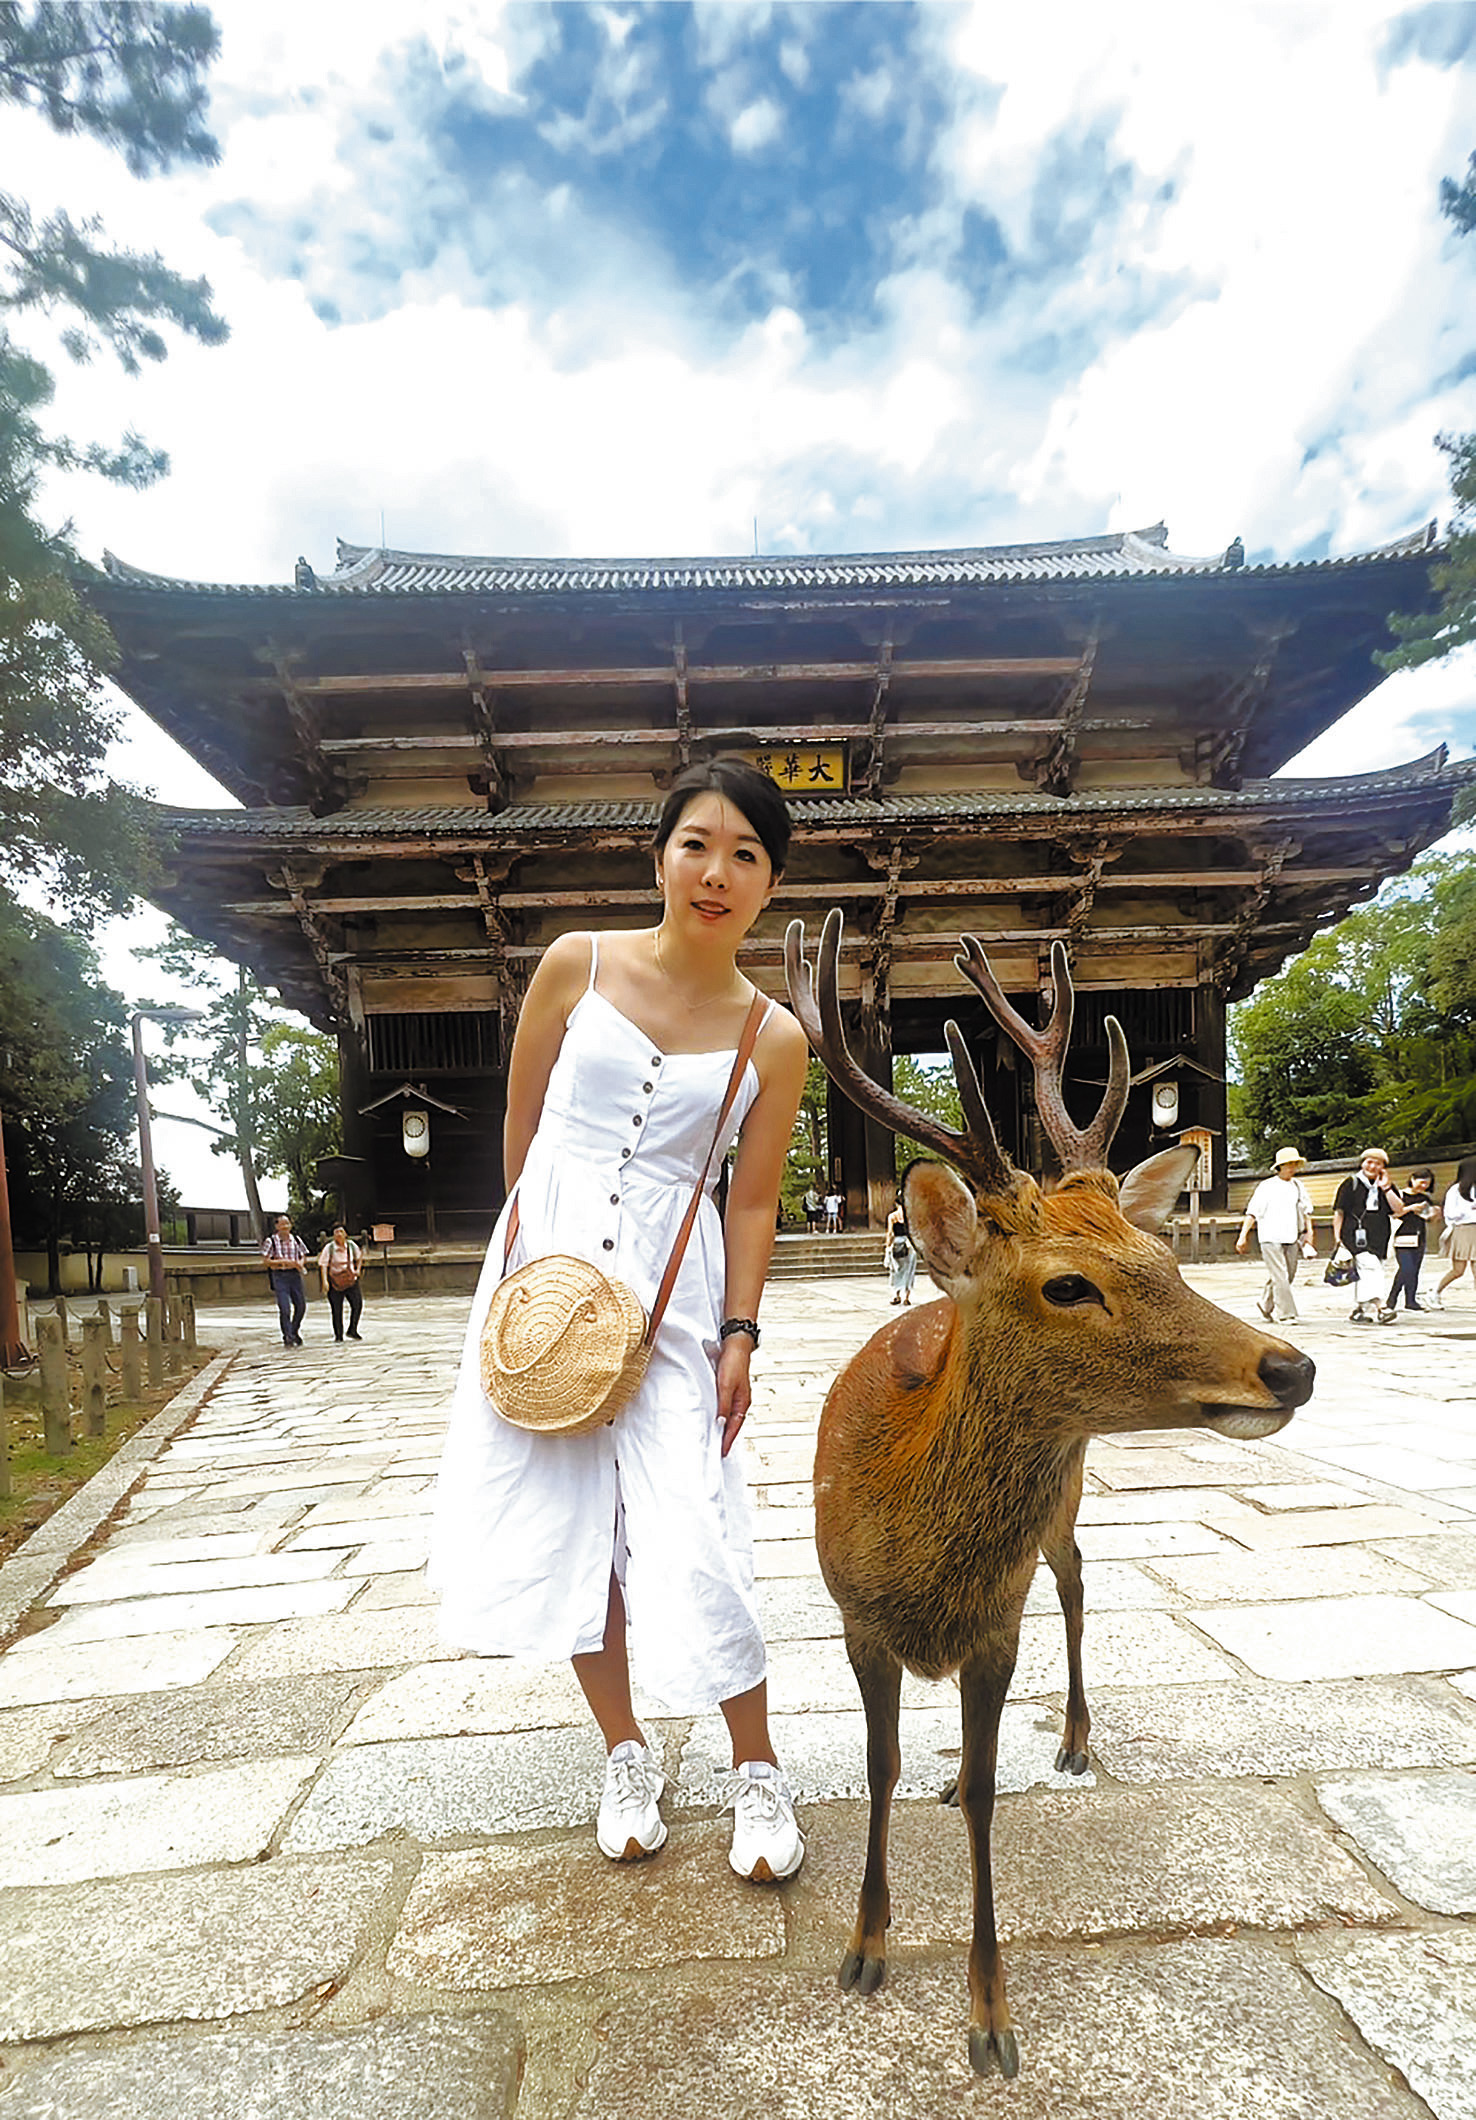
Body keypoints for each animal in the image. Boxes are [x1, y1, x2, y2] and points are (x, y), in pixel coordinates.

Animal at [784, 907, 1314, 2069]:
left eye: (1165, 1258)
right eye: (1069, 1282)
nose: (1291, 1366)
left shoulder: (995, 1624)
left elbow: (990, 1794)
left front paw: (990, 2017)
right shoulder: (854, 1618)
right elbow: (881, 1766)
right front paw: (863, 1948)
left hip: (1061, 1514)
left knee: (1075, 1582)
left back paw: (1073, 1739)